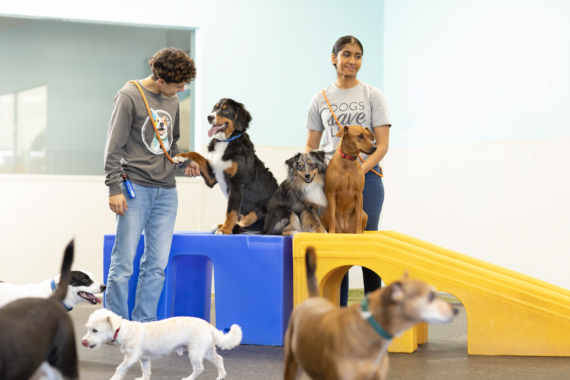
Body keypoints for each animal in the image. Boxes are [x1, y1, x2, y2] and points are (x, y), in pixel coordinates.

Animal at [81, 308, 241, 380]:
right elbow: (146, 371)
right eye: (88, 328)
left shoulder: (131, 358)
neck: (123, 330)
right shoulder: (144, 359)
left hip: (195, 353)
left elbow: (120, 368)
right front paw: (143, 379)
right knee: (219, 359)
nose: (84, 342)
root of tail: (208, 325)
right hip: (207, 351)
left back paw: (189, 378)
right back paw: (221, 376)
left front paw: (115, 378)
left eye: (95, 330)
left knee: (199, 368)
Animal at [173, 98, 280, 235]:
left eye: (226, 110)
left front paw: (225, 229)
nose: (209, 117)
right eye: (215, 108)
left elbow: (231, 212)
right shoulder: (212, 177)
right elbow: (196, 154)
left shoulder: (237, 184)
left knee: (249, 223)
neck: (226, 142)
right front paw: (181, 156)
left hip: (260, 213)